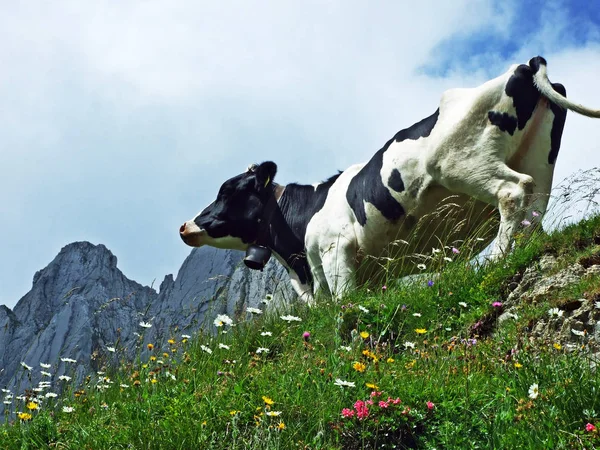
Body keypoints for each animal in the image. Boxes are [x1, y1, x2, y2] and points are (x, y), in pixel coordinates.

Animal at [180, 56, 600, 302]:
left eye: (227, 191)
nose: (185, 226)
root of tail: (525, 66)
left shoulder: (336, 251)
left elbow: (344, 305)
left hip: (463, 163)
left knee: (512, 192)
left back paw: (495, 260)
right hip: (540, 160)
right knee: (534, 208)